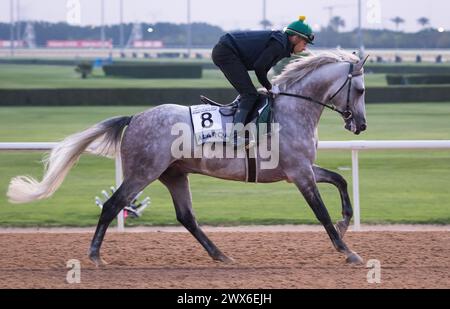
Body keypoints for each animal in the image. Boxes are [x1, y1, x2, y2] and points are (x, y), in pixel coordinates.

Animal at [7, 50, 370, 264]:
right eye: (361, 90)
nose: (361, 124)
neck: (294, 108)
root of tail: (134, 118)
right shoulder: (298, 172)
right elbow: (320, 212)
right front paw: (348, 251)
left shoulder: (303, 168)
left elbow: (340, 179)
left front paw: (345, 222)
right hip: (143, 172)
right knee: (112, 205)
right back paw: (95, 256)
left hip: (174, 174)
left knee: (186, 217)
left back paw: (221, 255)